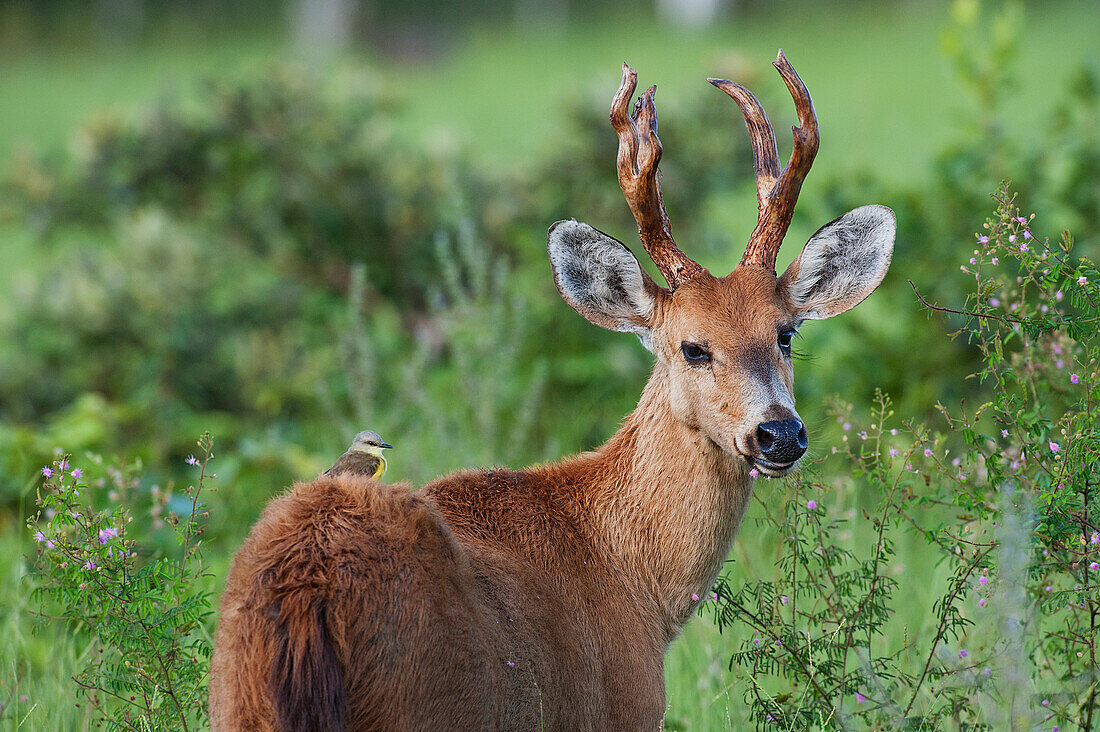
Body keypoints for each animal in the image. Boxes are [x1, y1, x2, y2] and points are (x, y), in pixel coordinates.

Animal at [207, 51, 893, 730]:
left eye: (786, 333)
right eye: (692, 347)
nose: (780, 433)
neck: (636, 581)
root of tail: (308, 591)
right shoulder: (622, 709)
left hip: (236, 699)